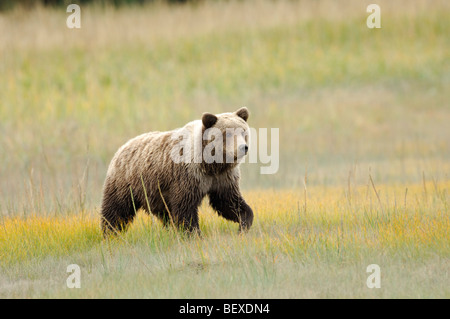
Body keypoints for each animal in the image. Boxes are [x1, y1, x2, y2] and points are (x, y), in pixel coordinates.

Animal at [101, 109, 253, 236]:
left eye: (243, 132)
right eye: (228, 133)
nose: (243, 147)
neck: (211, 165)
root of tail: (122, 148)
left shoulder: (222, 178)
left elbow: (228, 202)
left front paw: (244, 223)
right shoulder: (188, 176)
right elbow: (185, 208)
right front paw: (194, 234)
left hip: (157, 194)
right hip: (127, 183)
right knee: (116, 210)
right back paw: (110, 233)